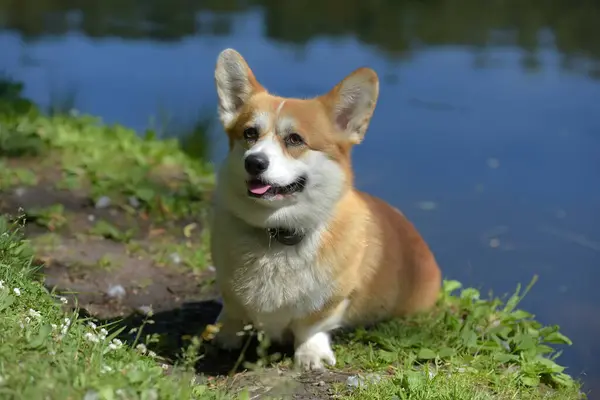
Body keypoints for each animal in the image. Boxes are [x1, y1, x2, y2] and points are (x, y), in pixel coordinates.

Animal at [210, 48, 440, 370]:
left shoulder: (332, 299)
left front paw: (311, 355)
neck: (277, 233)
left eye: (295, 139)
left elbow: (311, 326)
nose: (253, 162)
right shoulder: (229, 288)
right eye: (249, 133)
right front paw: (227, 335)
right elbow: (234, 310)